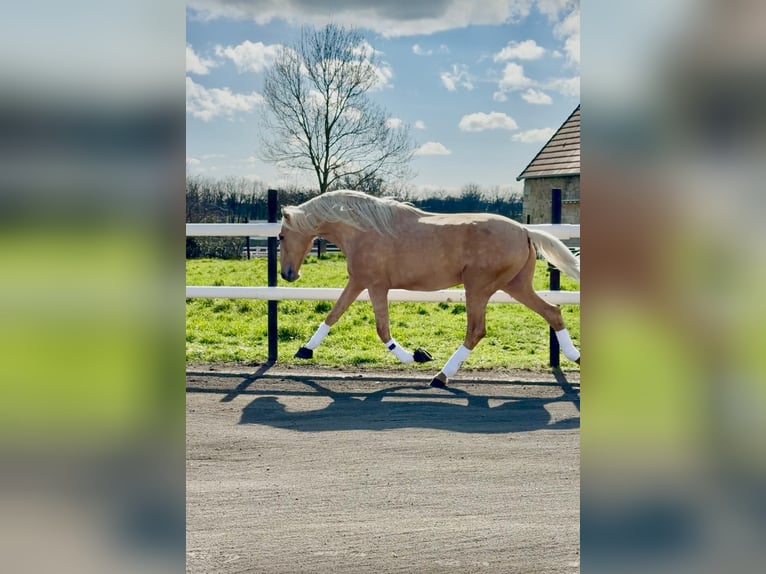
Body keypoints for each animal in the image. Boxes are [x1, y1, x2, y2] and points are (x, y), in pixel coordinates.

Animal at [278, 190, 580, 387]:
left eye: (280, 236)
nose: (288, 274)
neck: (363, 230)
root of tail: (525, 231)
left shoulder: (376, 285)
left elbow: (381, 329)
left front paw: (415, 356)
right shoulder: (358, 282)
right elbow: (333, 314)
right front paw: (304, 350)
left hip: (479, 287)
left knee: (476, 331)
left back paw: (441, 376)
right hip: (515, 285)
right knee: (552, 312)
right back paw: (576, 357)